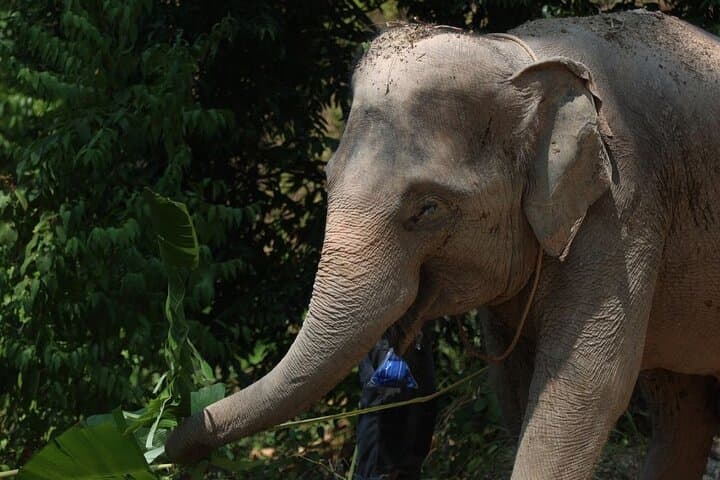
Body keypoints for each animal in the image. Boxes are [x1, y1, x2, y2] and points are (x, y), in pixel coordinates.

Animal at [166, 9, 720, 479]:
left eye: (427, 209)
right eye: (325, 181)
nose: (171, 440)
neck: (518, 55)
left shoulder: (623, 207)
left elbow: (584, 387)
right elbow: (513, 384)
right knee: (680, 405)